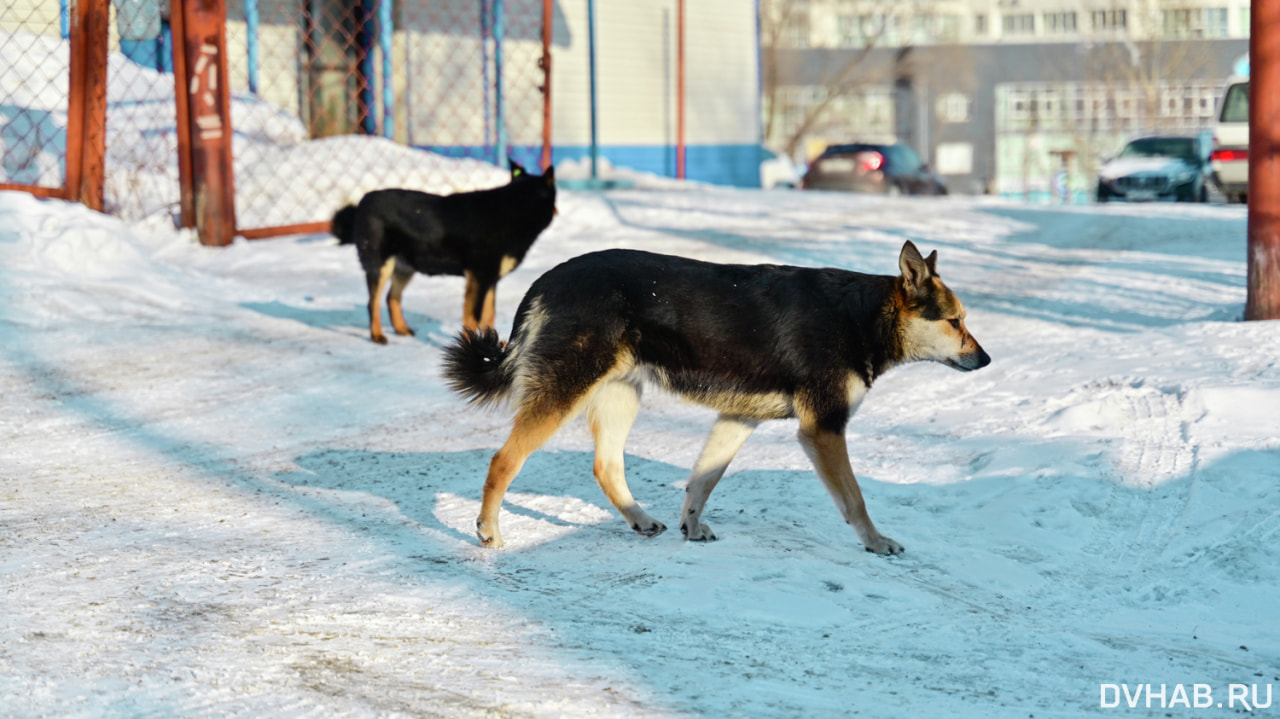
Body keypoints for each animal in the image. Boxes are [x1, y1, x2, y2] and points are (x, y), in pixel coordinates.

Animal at [330, 161, 555, 342]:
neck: (515, 208)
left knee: (391, 297)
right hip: (380, 266)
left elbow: (489, 314)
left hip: (405, 267)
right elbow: (473, 316)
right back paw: (377, 335)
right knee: (373, 302)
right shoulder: (479, 276)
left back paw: (401, 329)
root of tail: (362, 201)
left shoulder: (490, 279)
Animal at [445, 241, 993, 555]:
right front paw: (876, 543)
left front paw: (691, 526)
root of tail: (546, 279)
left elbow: (703, 481)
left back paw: (641, 520)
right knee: (504, 460)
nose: (986, 359)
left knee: (606, 466)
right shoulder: (823, 429)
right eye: (955, 321)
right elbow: (855, 499)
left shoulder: (737, 418)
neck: (863, 316)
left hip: (621, 394)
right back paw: (489, 531)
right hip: (566, 392)